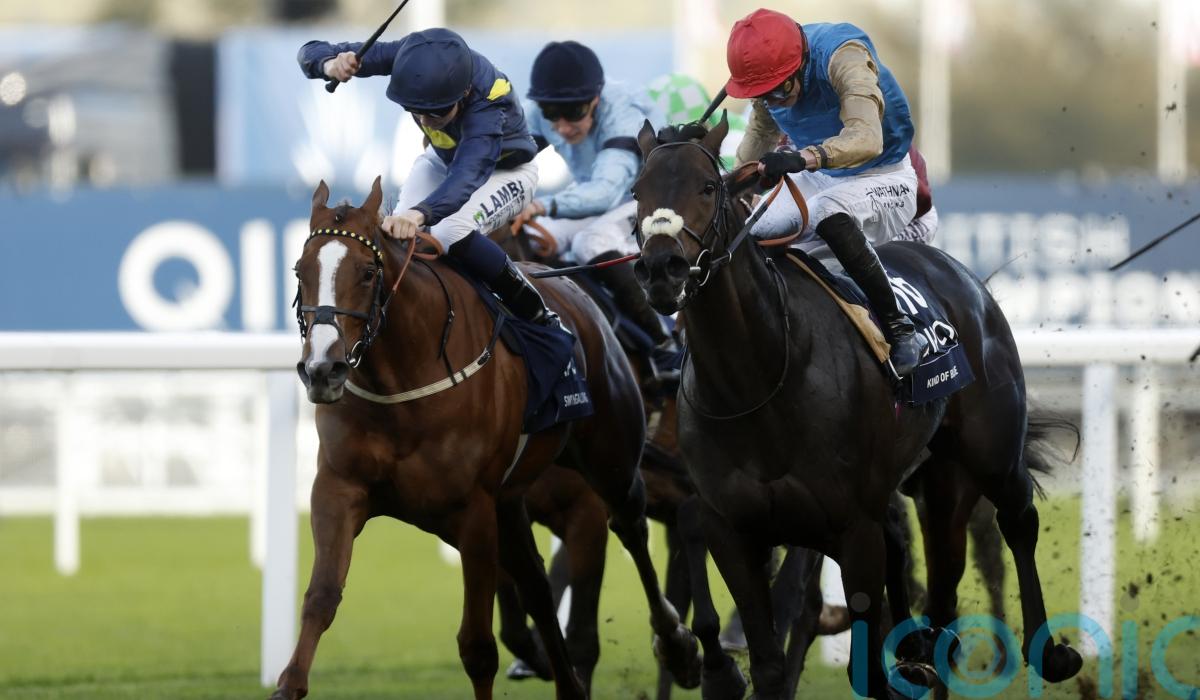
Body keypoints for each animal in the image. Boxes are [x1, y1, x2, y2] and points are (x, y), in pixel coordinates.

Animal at [271, 176, 701, 700]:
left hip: (611, 464)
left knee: (632, 529)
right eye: (300, 271)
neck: (402, 384)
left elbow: (480, 645)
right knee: (537, 584)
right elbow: (321, 599)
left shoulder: (481, 510)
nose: (323, 370)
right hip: (512, 503)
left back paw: (680, 647)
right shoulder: (339, 489)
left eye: (369, 272)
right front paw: (288, 682)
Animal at [630, 115, 1083, 699]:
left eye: (708, 187)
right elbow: (770, 662)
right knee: (942, 579)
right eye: (637, 192)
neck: (756, 383)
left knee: (1018, 518)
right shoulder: (731, 530)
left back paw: (1048, 651)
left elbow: (862, 660)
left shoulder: (853, 527)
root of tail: (958, 273)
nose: (661, 268)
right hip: (936, 479)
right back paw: (924, 650)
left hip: (991, 448)